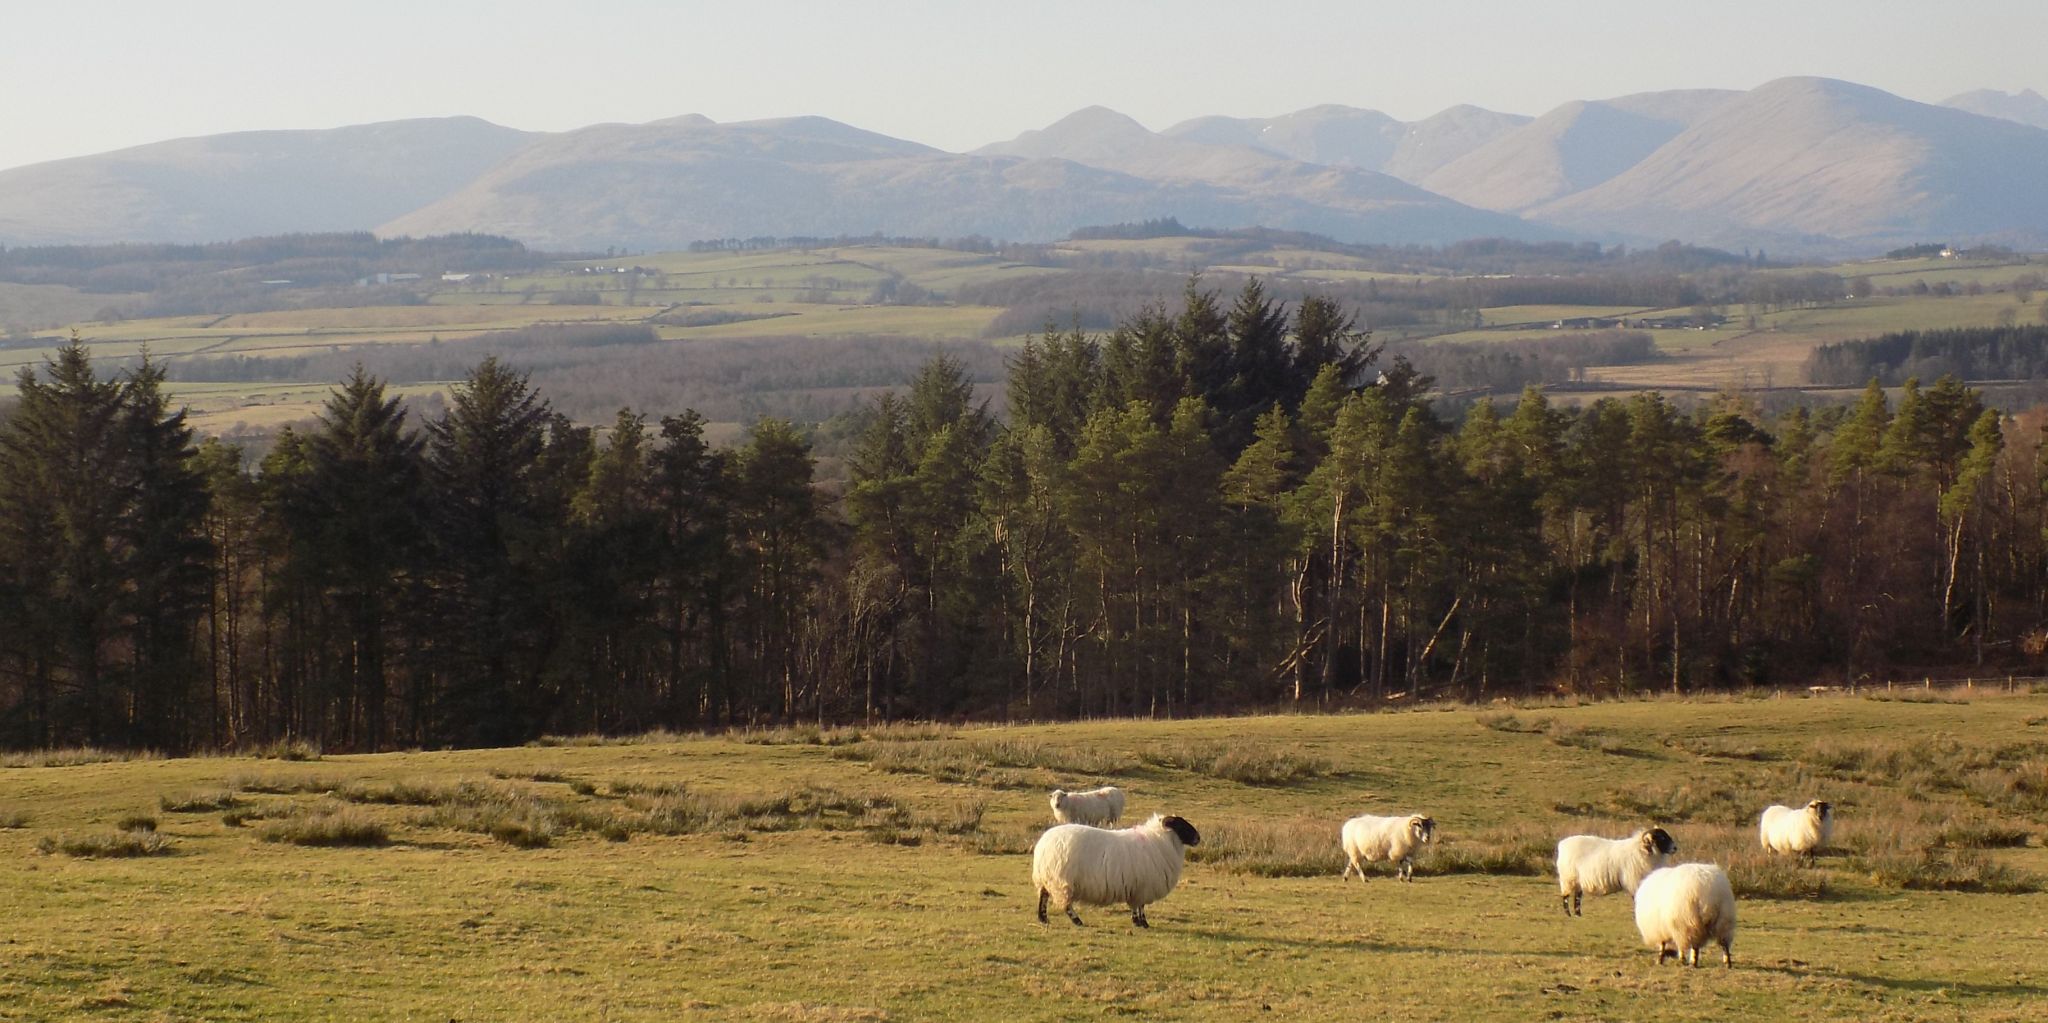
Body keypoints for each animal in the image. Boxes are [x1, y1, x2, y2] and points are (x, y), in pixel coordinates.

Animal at [1024, 814, 1196, 928]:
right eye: (1180, 825)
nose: (1198, 837)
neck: (1160, 841)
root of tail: (1043, 844)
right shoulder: (1142, 888)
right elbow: (1140, 907)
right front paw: (1143, 923)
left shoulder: (1135, 887)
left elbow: (1135, 906)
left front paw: (1137, 922)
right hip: (1061, 880)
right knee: (1065, 904)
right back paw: (1077, 921)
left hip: (1047, 878)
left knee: (1043, 896)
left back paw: (1043, 919)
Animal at [1548, 822, 1679, 920]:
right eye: (1661, 837)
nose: (1675, 848)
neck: (1643, 850)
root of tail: (1562, 844)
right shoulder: (1634, 882)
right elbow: (1636, 899)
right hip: (1568, 878)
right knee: (1566, 896)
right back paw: (1569, 914)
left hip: (1578, 880)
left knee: (1577, 897)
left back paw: (1578, 915)